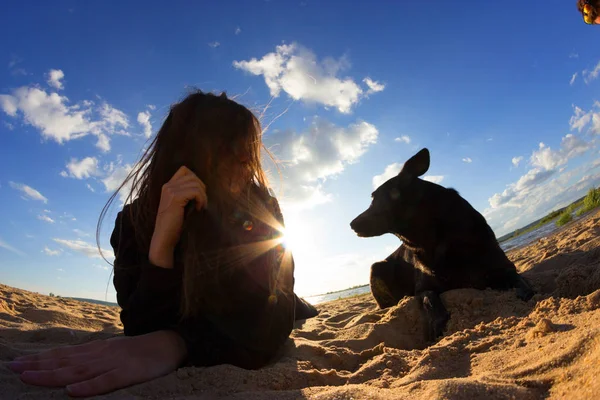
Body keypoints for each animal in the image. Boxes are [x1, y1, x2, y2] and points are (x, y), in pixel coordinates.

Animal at [350, 148, 536, 342]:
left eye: (375, 198)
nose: (351, 224)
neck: (436, 238)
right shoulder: (423, 288)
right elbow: (430, 299)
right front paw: (436, 325)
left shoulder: (503, 267)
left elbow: (521, 283)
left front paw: (522, 291)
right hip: (376, 268)